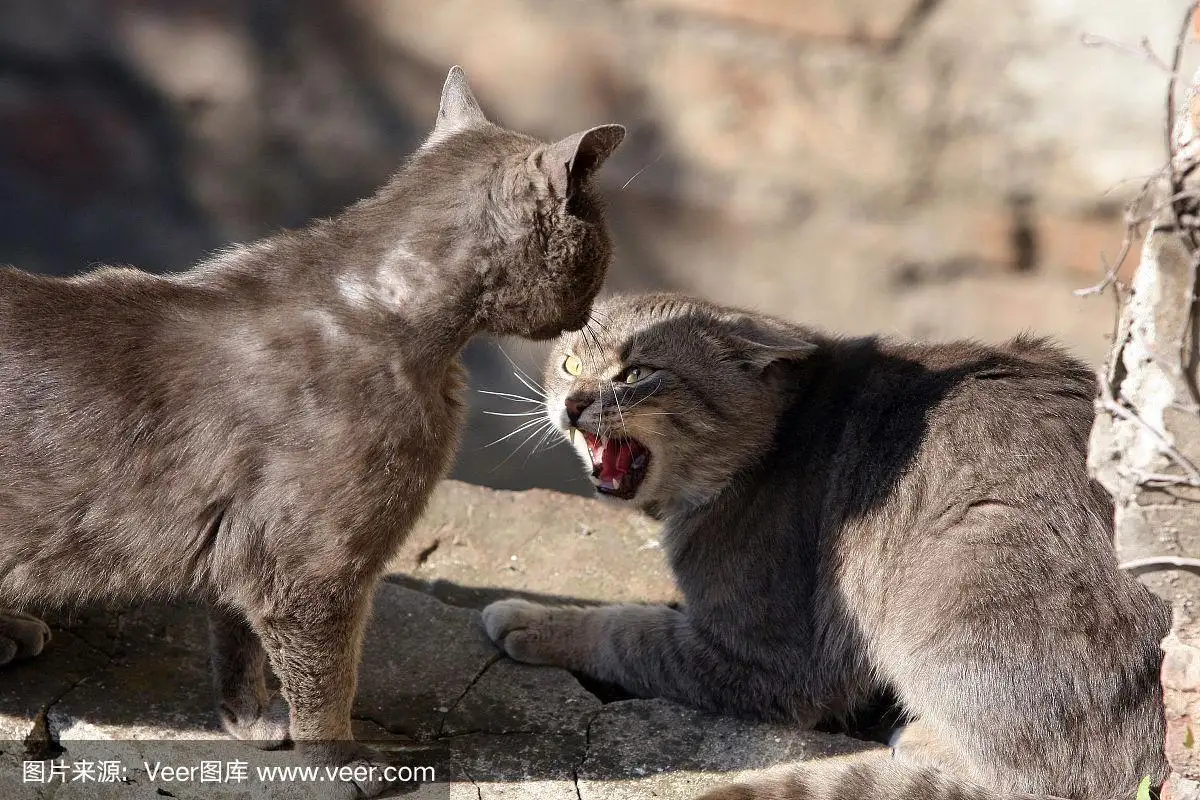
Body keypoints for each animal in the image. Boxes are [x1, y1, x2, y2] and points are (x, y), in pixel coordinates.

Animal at [480, 293, 1171, 800]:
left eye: (640, 373)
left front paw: (535, 619)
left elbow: (628, 631)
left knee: (1038, 776)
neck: (770, 442)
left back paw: (924, 738)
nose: (572, 404)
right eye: (569, 365)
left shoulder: (767, 662)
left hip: (958, 568)